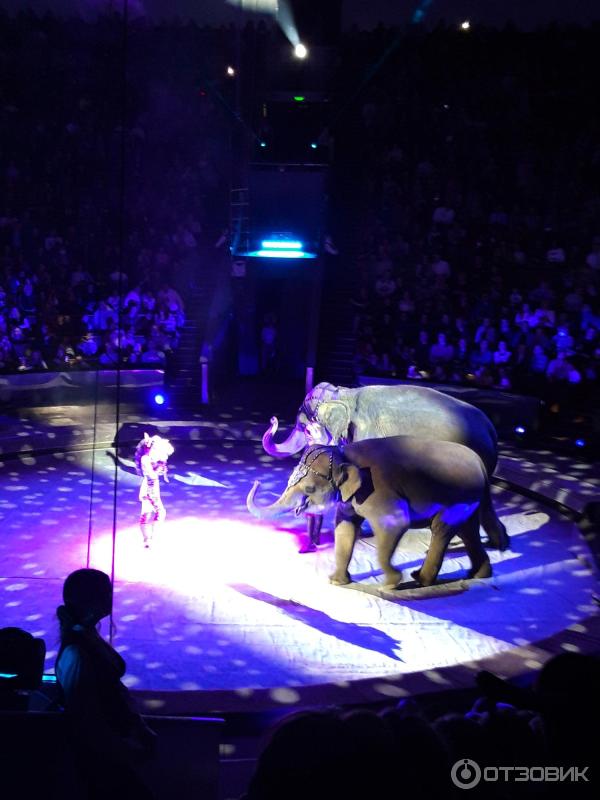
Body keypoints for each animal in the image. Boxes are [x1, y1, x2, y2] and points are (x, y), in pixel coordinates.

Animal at [246, 438, 494, 588]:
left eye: (309, 489)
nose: (257, 481)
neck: (345, 455)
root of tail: (480, 463)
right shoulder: (351, 499)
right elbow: (345, 527)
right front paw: (336, 582)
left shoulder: (378, 491)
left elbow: (395, 523)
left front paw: (391, 582)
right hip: (468, 501)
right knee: (468, 531)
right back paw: (478, 574)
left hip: (457, 500)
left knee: (441, 530)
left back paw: (420, 580)